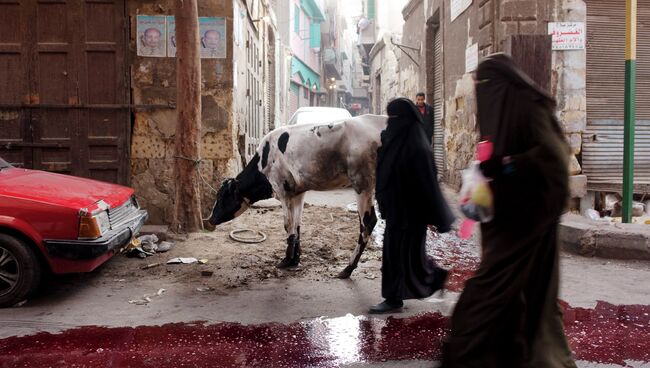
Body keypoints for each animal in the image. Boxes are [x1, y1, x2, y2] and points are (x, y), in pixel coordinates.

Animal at [209, 113, 384, 278]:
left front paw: (286, 260)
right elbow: (297, 225)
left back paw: (348, 268)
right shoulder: (298, 193)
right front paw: (295, 259)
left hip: (362, 184)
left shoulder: (283, 191)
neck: (264, 162)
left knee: (368, 223)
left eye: (222, 197)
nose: (210, 219)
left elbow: (288, 226)